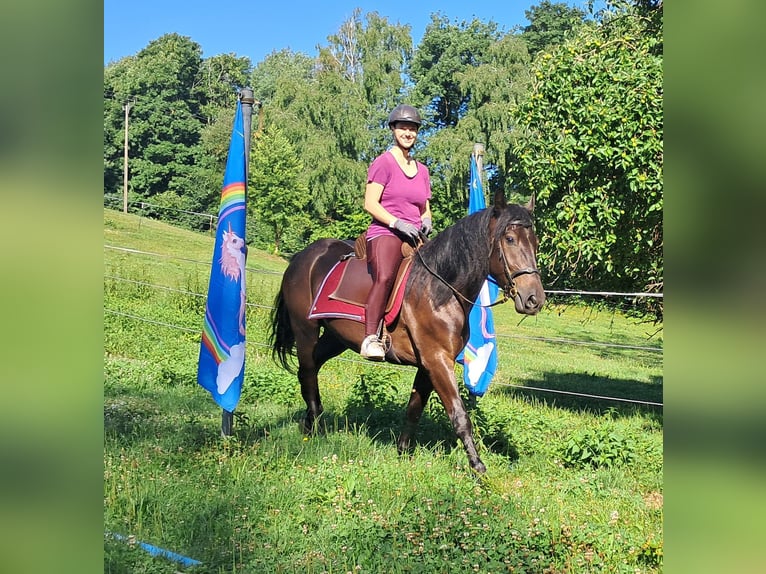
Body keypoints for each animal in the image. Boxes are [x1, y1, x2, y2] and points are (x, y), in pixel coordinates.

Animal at [268, 191, 545, 474]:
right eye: (509, 239)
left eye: (535, 242)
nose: (534, 299)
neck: (439, 289)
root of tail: (302, 257)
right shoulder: (437, 360)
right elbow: (459, 415)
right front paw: (478, 468)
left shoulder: (428, 364)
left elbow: (414, 409)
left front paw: (403, 453)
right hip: (306, 330)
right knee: (308, 373)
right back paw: (315, 431)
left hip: (336, 338)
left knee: (309, 369)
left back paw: (309, 425)